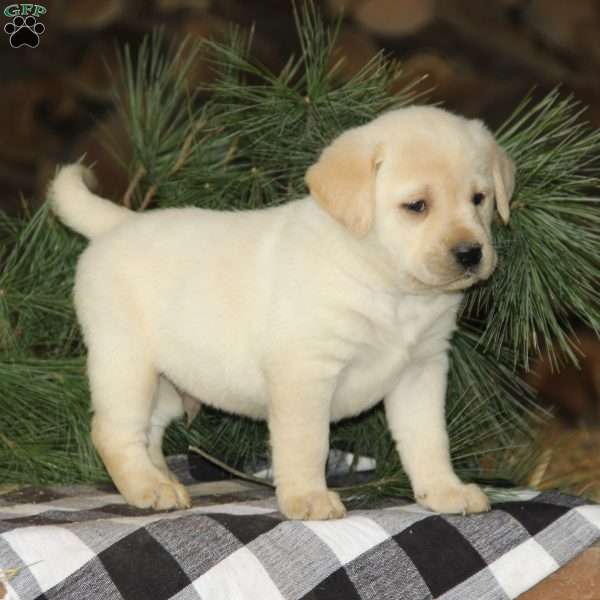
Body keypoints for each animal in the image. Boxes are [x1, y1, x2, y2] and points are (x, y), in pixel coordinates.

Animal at [49, 108, 512, 520]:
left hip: (166, 384)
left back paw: (163, 479)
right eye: (416, 206)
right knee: (113, 432)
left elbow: (429, 439)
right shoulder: (306, 372)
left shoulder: (422, 370)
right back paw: (148, 488)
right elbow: (308, 444)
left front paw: (445, 490)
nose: (470, 253)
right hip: (126, 365)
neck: (391, 288)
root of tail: (115, 225)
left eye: (479, 199)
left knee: (149, 432)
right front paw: (309, 498)